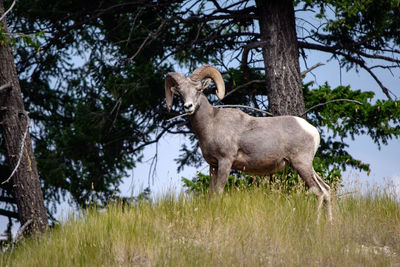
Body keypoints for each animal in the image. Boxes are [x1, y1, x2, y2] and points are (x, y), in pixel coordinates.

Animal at [164, 64, 332, 222]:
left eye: (198, 90)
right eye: (180, 93)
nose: (188, 107)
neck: (211, 123)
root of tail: (313, 131)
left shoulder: (225, 162)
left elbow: (218, 193)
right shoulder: (213, 165)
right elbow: (211, 194)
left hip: (301, 165)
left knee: (318, 191)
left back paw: (316, 223)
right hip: (307, 166)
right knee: (326, 189)